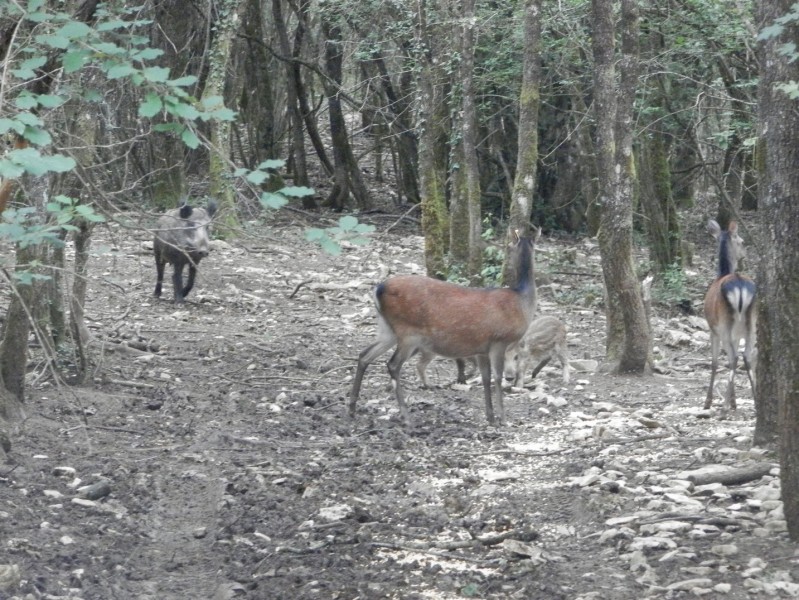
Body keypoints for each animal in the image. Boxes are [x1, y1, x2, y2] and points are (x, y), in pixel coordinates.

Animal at [708, 220, 756, 412]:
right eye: (742, 242)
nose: (745, 253)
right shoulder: (736, 335)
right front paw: (735, 401)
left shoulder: (712, 329)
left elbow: (714, 362)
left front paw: (708, 402)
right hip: (751, 323)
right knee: (747, 356)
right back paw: (756, 401)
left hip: (725, 324)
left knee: (734, 357)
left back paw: (723, 407)